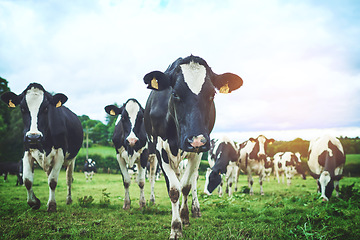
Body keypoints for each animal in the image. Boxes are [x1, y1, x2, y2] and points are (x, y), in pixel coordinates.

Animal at [0, 83, 83, 212]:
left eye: (46, 108)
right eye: (22, 108)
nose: (33, 137)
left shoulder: (60, 153)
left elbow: (53, 181)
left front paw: (52, 205)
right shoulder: (27, 152)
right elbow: (27, 180)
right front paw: (34, 202)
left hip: (72, 160)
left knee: (69, 179)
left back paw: (68, 200)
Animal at [143, 54, 242, 238]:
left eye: (212, 94)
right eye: (175, 94)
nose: (196, 140)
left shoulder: (198, 152)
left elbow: (186, 186)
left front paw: (185, 217)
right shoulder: (161, 149)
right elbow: (174, 189)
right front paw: (176, 227)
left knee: (193, 179)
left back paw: (194, 209)